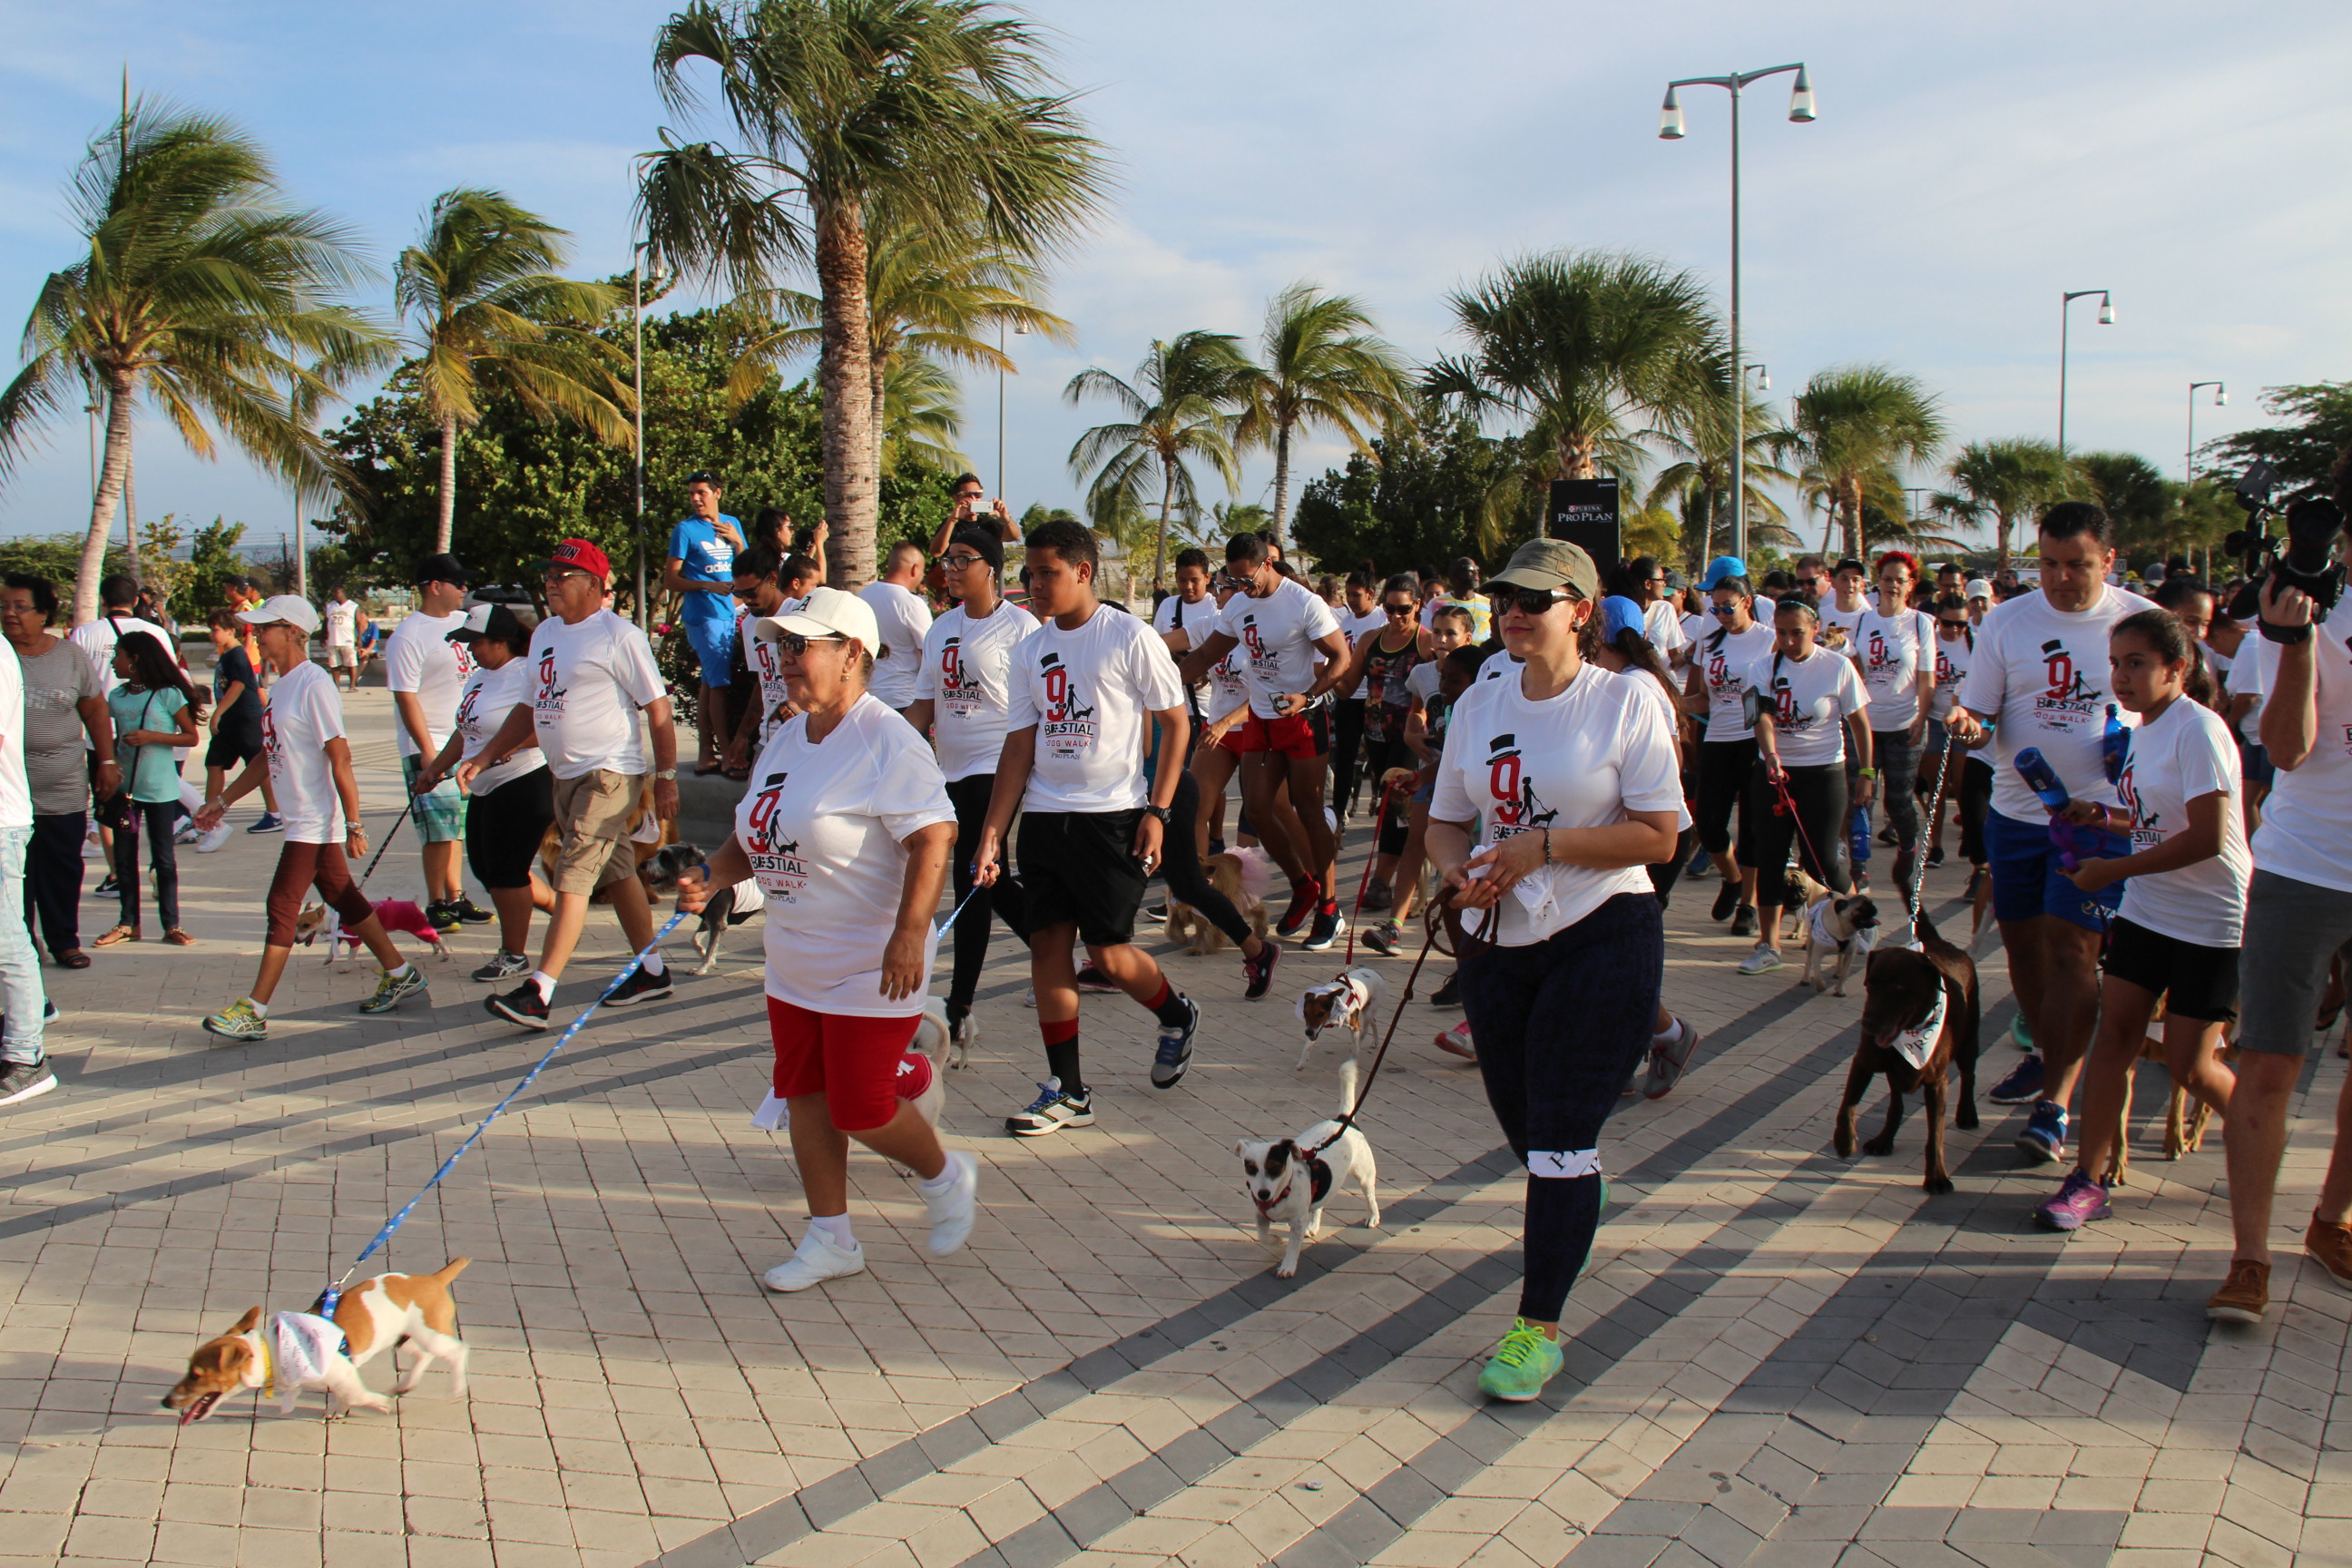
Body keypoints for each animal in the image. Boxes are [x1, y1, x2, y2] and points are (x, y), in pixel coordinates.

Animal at [163, 1259, 470, 1419]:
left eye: (196, 1375)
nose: (166, 1402)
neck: (273, 1351)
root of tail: (434, 1278)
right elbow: (345, 1395)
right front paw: (340, 1410)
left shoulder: (343, 1371)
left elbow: (355, 1394)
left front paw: (378, 1403)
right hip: (403, 1336)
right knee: (423, 1355)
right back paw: (405, 1385)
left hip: (429, 1333)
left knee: (459, 1351)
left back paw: (456, 1389)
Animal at [1232, 1062, 1373, 1279]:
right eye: (1250, 1167)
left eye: (1275, 1168)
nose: (1263, 1194)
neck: (1281, 1193)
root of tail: (1343, 1121)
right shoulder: (1260, 1216)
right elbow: (1263, 1235)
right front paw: (1275, 1240)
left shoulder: (1297, 1221)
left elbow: (1292, 1247)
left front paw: (1288, 1266)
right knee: (1319, 1205)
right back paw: (1313, 1226)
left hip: (1365, 1175)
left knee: (1370, 1196)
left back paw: (1373, 1217)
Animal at [1825, 921, 1975, 1189]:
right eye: (1870, 985)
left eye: (1898, 988)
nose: (1868, 1024)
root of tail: (1943, 944)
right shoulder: (1863, 1062)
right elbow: (1847, 1105)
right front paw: (1844, 1141)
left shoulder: (1937, 1083)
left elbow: (1935, 1134)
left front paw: (1936, 1175)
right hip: (1895, 1075)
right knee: (1896, 1103)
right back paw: (1884, 1139)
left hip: (1969, 1040)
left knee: (1969, 1074)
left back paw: (1967, 1112)